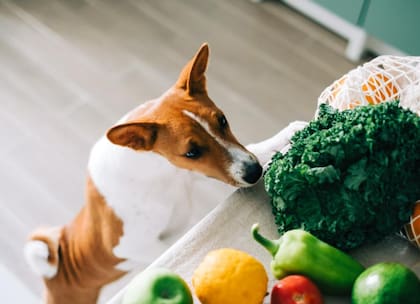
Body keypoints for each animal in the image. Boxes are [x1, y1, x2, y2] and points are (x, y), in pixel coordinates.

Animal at [23, 44, 306, 302]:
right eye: (191, 152)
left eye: (223, 120)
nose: (254, 172)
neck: (160, 174)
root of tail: (53, 274)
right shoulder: (131, 244)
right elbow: (174, 244)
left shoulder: (192, 173)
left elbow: (255, 148)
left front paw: (286, 136)